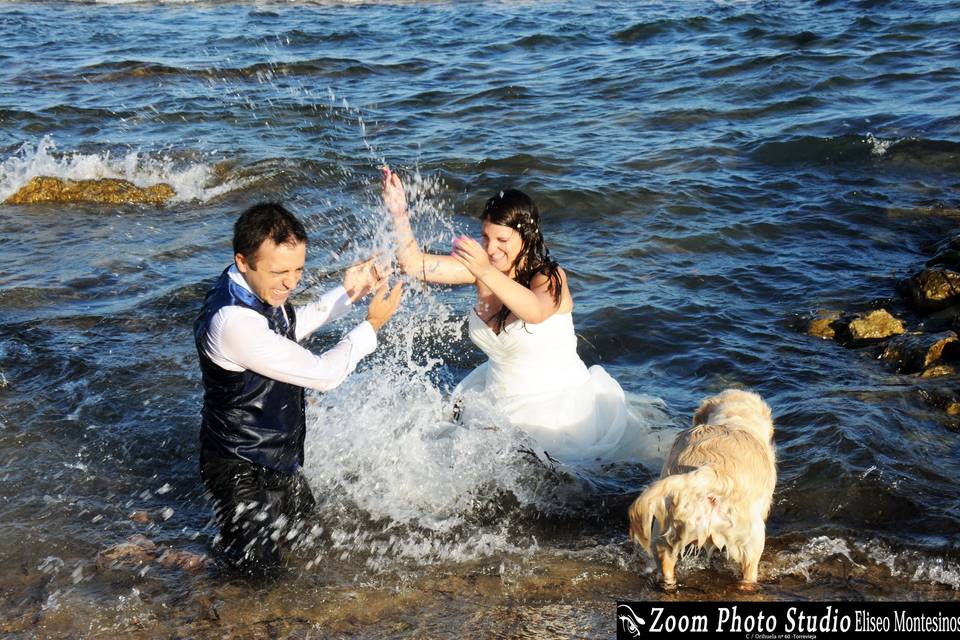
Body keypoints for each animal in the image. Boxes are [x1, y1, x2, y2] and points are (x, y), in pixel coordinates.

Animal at [628, 388, 776, 592]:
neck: (731, 420)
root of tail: (710, 471)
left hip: (665, 529)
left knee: (665, 563)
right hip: (752, 538)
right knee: (749, 572)